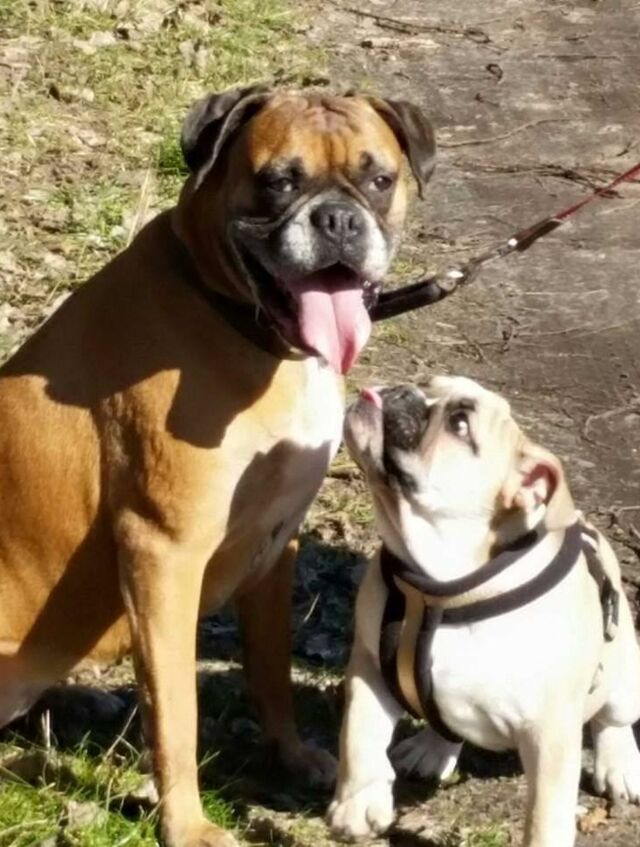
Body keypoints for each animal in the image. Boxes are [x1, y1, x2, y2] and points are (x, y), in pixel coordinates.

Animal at [0, 87, 436, 847]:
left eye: (379, 179)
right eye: (278, 181)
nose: (338, 219)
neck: (242, 325)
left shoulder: (277, 540)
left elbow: (271, 667)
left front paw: (290, 756)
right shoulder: (163, 554)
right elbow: (175, 707)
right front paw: (187, 823)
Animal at [329, 377, 640, 846]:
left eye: (459, 424)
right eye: (428, 385)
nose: (405, 391)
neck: (445, 585)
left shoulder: (550, 736)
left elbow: (545, 817)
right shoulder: (369, 666)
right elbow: (360, 734)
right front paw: (358, 804)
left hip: (624, 678)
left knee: (614, 721)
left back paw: (619, 765)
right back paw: (431, 749)